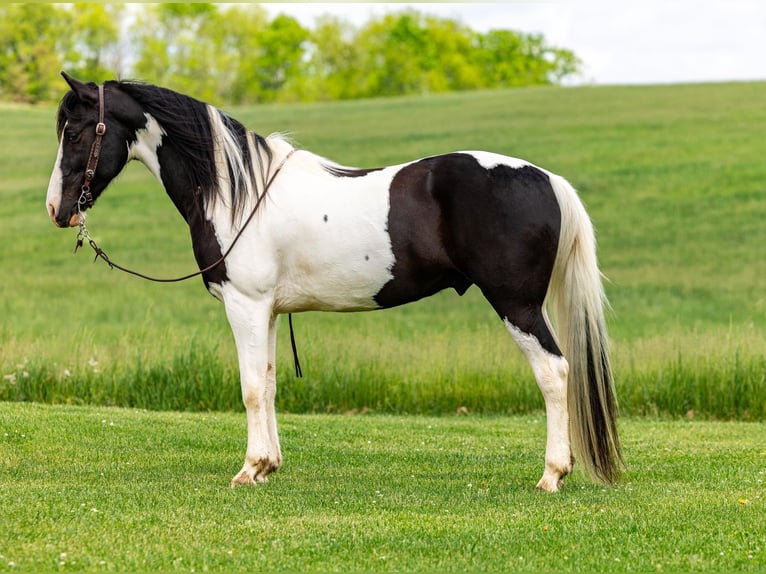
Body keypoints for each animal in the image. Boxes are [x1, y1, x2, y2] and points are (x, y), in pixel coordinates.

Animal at [46, 73, 624, 496]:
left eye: (76, 131)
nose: (57, 209)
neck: (237, 192)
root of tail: (548, 179)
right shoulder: (268, 312)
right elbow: (270, 383)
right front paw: (267, 466)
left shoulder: (244, 306)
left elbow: (250, 387)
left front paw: (248, 469)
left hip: (516, 304)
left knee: (554, 372)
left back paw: (552, 475)